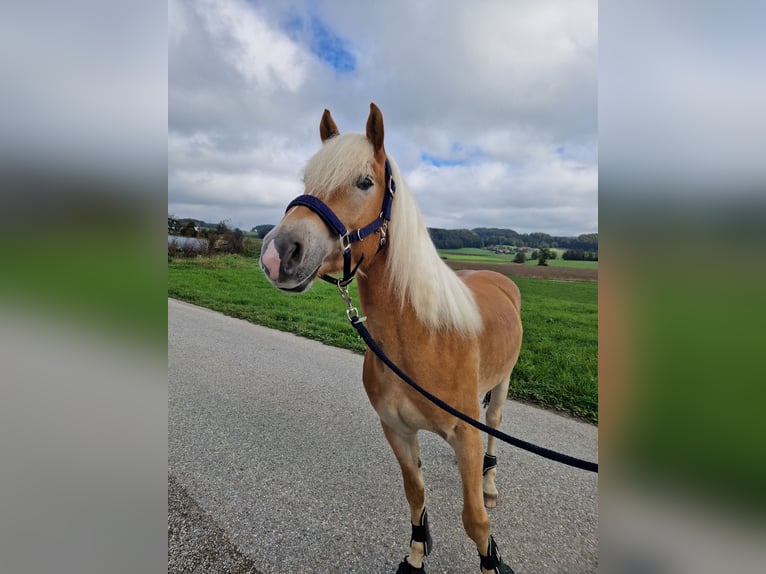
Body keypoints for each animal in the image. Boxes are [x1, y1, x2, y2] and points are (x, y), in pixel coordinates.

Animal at [262, 104, 520, 574]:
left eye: (365, 182)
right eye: (306, 181)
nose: (277, 253)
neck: (420, 340)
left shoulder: (466, 436)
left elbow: (475, 519)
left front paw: (492, 561)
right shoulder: (397, 430)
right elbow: (415, 495)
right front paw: (417, 555)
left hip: (501, 385)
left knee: (494, 427)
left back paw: (490, 482)